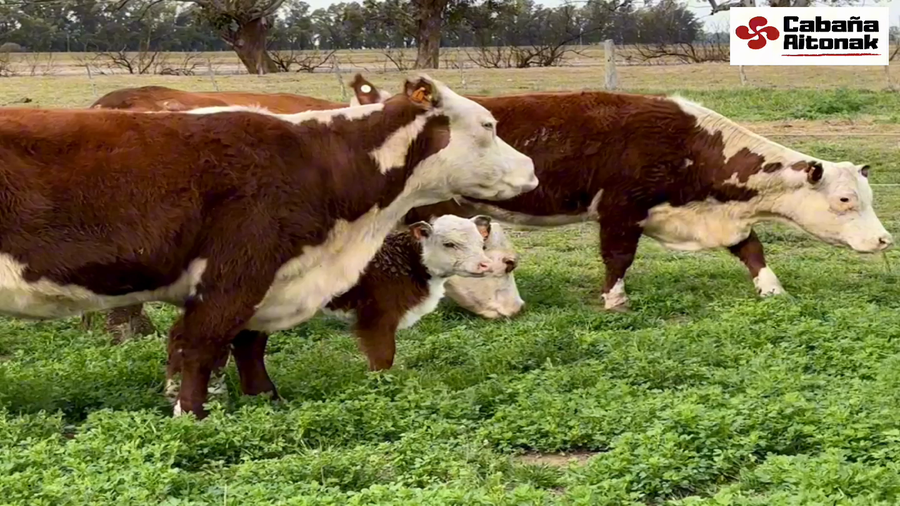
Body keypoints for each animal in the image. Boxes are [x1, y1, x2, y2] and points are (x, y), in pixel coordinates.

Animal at [164, 214, 502, 404]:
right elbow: (383, 358)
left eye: (480, 242)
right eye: (449, 244)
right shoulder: (377, 315)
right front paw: (381, 389)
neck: (406, 261)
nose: (484, 265)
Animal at [349, 75, 893, 311]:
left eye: (866, 196)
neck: (689, 142)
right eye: (845, 201)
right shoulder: (620, 209)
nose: (885, 240)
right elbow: (618, 257)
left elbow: (752, 248)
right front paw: (614, 300)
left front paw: (772, 289)